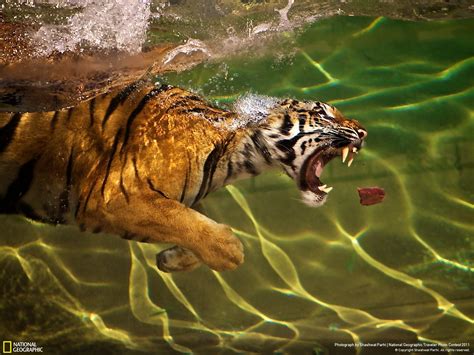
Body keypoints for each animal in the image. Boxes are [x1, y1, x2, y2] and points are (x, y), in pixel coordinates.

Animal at [0, 82, 366, 274]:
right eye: (323, 112)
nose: (363, 131)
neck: (236, 156)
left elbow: (187, 221)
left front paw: (170, 260)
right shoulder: (113, 195)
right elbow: (185, 222)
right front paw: (230, 252)